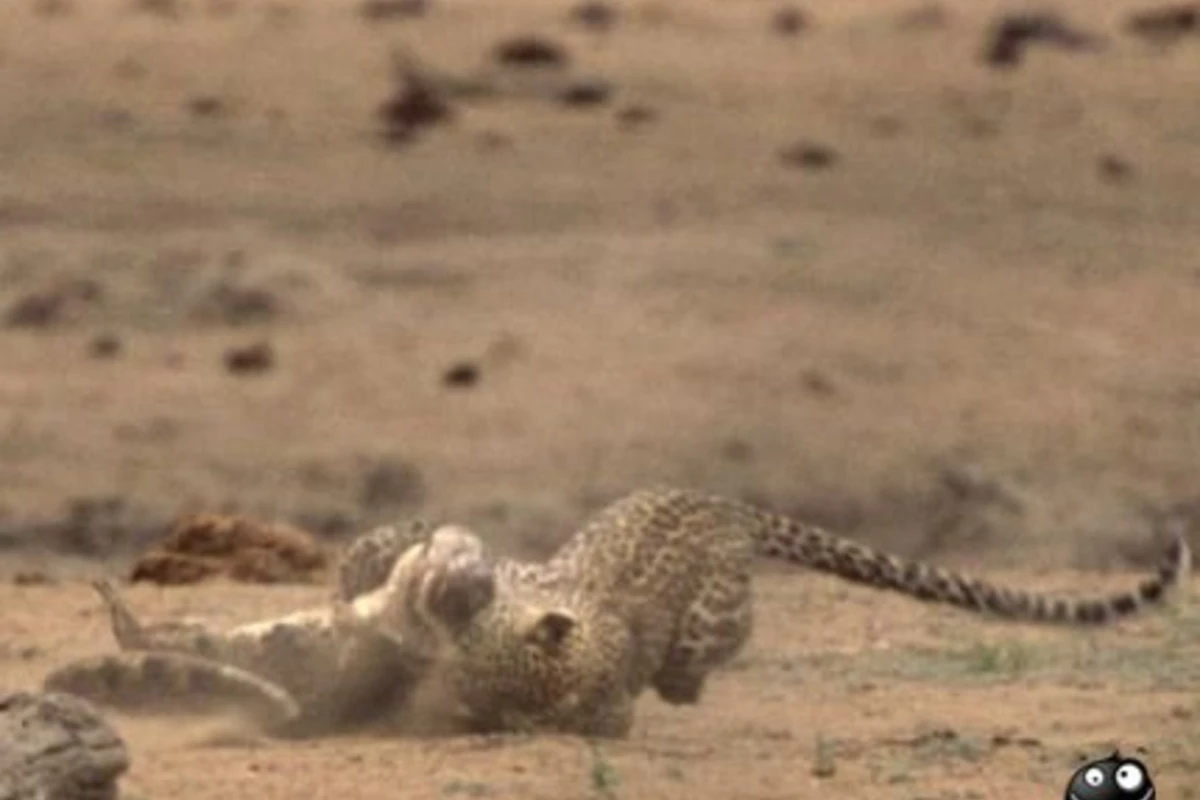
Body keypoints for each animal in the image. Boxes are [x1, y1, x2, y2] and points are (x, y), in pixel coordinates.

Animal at [339, 486, 1192, 739]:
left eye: (465, 618)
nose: (453, 582)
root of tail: (727, 507)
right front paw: (364, 564)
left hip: (713, 616)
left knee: (703, 655)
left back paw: (686, 684)